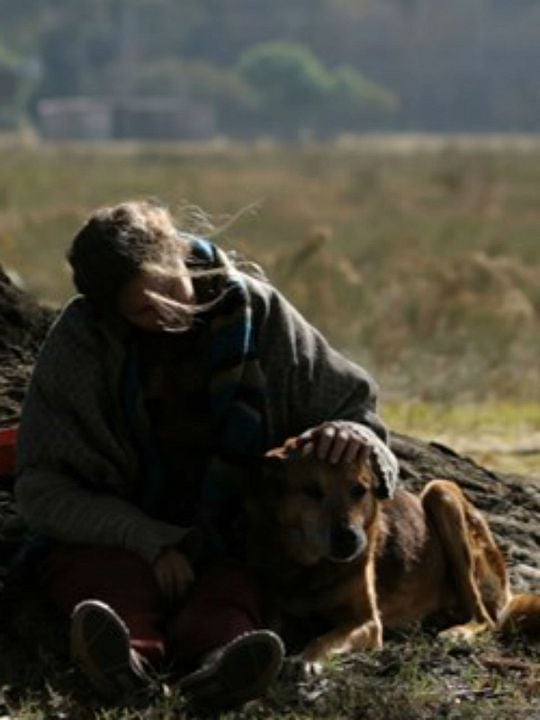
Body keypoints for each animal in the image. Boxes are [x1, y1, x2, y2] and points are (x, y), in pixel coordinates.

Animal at [245, 438, 540, 668]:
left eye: (359, 490)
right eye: (312, 491)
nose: (349, 539)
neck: (315, 567)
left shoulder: (367, 622)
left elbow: (323, 638)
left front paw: (307, 660)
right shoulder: (278, 612)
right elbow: (271, 629)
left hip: (440, 492)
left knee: (485, 618)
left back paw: (459, 632)